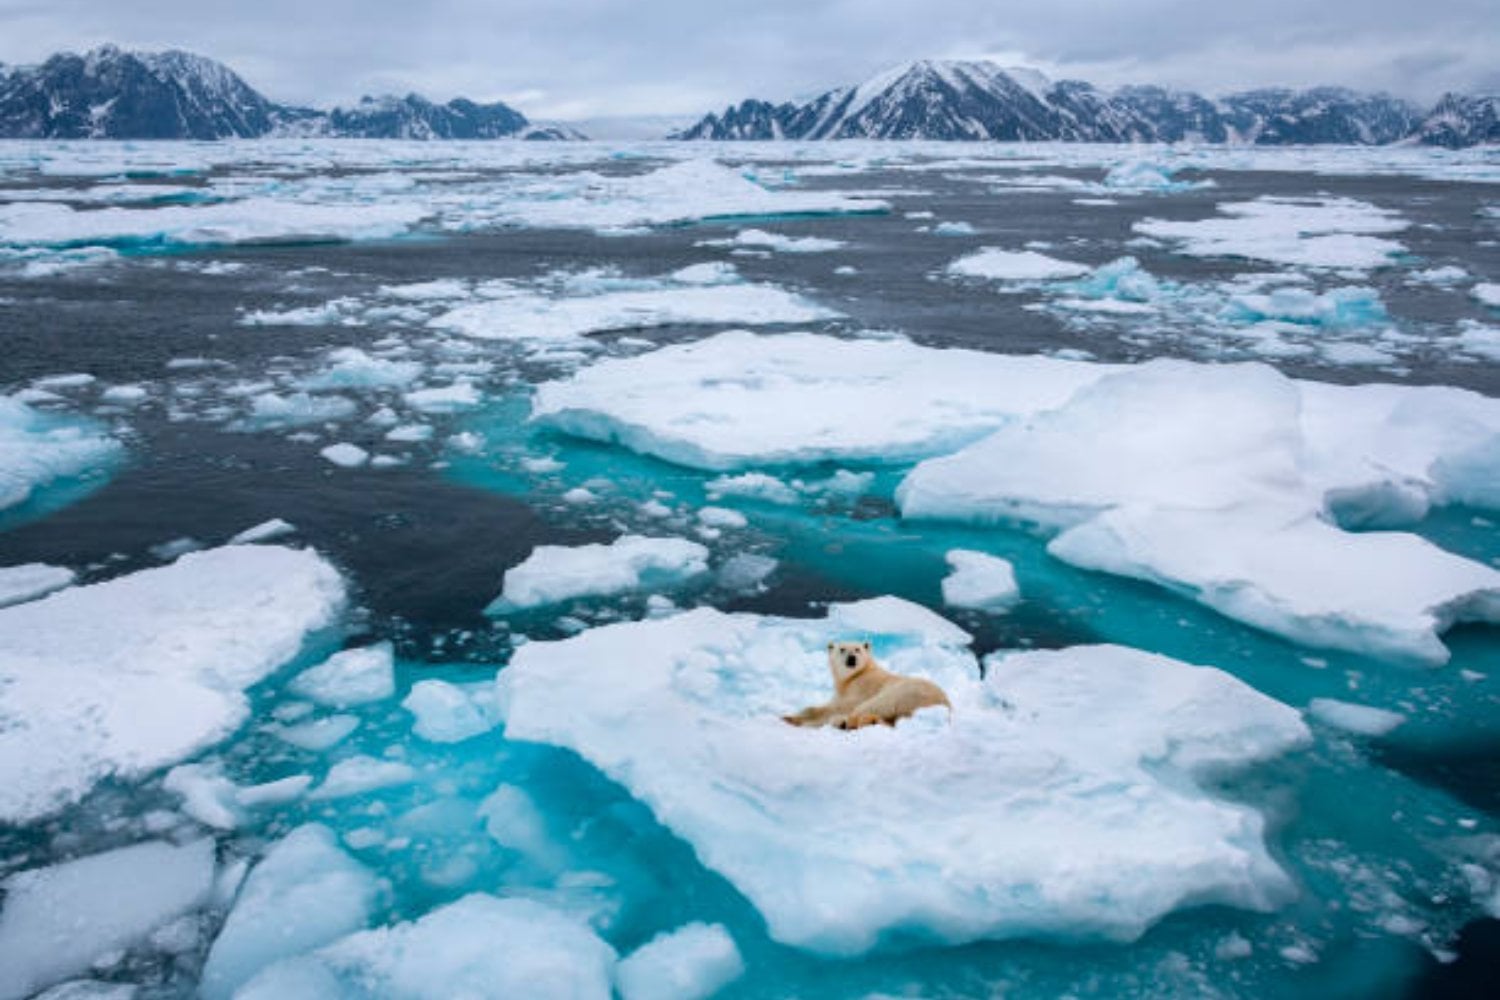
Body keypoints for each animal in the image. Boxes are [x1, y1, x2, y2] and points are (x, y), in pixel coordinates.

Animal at [782, 640, 951, 730]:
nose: (851, 658)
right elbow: (831, 704)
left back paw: (842, 722)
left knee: (871, 706)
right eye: (842, 649)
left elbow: (842, 706)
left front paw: (796, 718)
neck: (856, 675)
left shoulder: (864, 686)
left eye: (857, 649)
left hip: (904, 692)